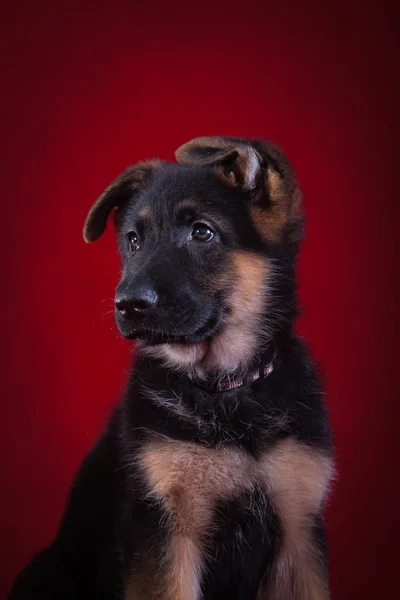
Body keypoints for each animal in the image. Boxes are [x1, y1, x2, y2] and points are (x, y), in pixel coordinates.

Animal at [9, 137, 334, 600]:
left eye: (202, 232)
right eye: (133, 240)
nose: (128, 305)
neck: (223, 387)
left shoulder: (299, 534)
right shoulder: (165, 532)